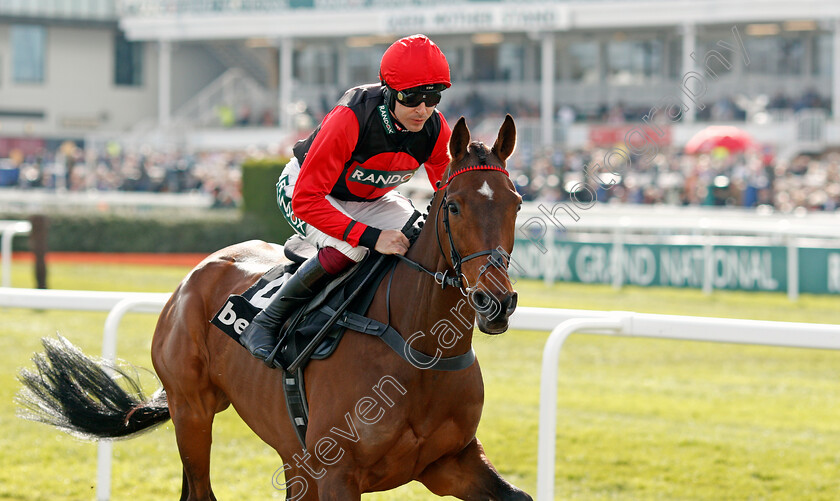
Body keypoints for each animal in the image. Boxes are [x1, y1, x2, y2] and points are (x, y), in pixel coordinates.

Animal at [16, 114, 532, 500]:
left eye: (516, 202)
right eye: (455, 206)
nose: (495, 302)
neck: (418, 347)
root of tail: (193, 275)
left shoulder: (450, 461)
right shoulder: (337, 473)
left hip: (289, 456)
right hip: (192, 410)